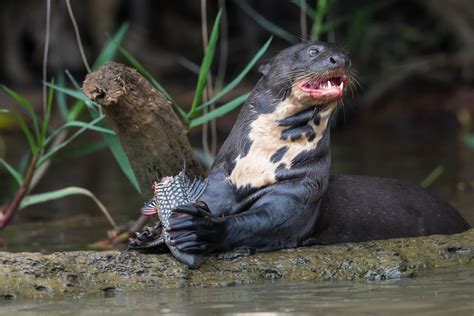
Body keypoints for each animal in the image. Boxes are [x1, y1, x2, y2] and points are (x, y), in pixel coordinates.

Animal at [158, 41, 470, 254]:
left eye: (346, 54)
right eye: (313, 51)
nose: (341, 59)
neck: (259, 165)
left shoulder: (301, 190)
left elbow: (263, 222)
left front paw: (202, 230)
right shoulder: (220, 181)